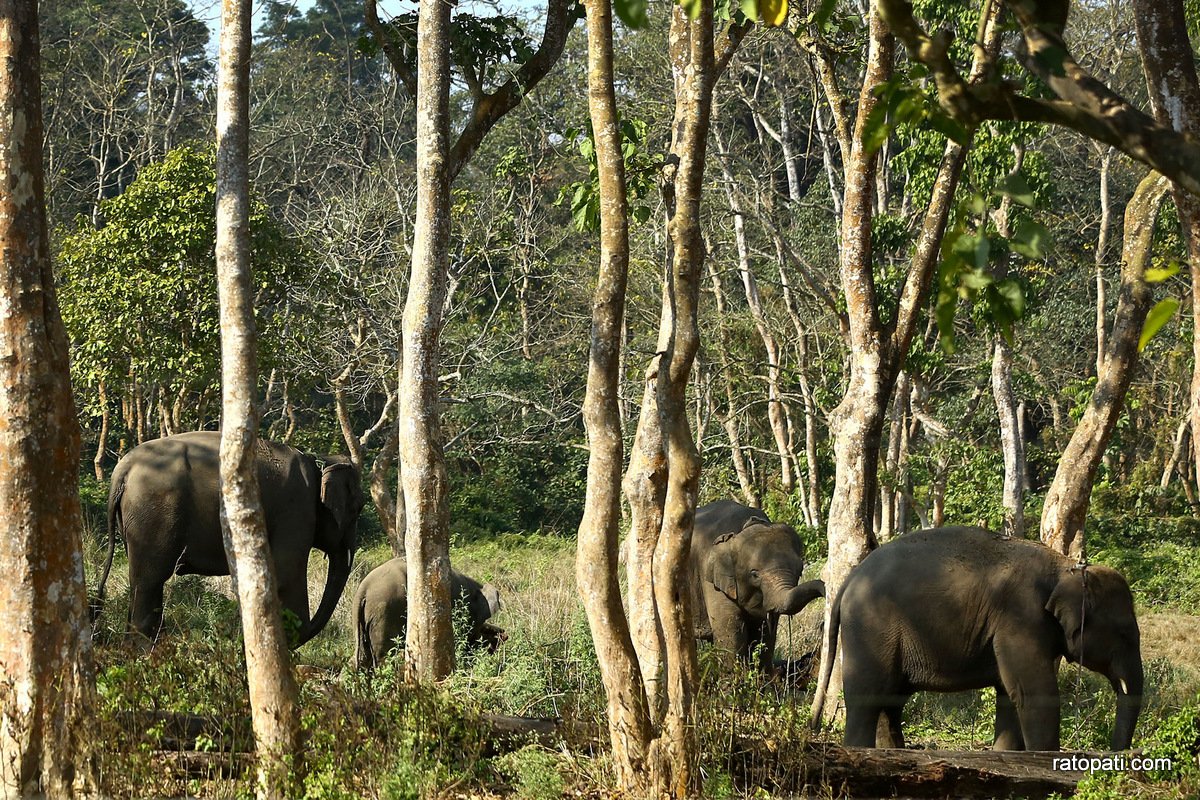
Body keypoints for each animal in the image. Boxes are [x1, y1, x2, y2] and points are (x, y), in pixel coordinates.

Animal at [97, 429, 364, 647]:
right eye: (358, 509)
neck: (319, 460)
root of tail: (122, 469)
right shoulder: (296, 509)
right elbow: (287, 573)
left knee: (139, 581)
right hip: (155, 513)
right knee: (150, 580)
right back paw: (146, 651)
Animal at [355, 556, 506, 671]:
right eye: (482, 628)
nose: (504, 634)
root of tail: (363, 588)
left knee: (363, 656)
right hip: (385, 612)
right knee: (385, 655)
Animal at [696, 503, 825, 671]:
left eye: (800, 569)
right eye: (754, 574)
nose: (826, 589)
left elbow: (765, 632)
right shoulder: (710, 578)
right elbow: (730, 631)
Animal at [816, 527, 1142, 753]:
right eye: (1125, 635)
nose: (1118, 754)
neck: (1066, 568)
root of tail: (847, 581)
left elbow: (1009, 693)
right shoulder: (1021, 618)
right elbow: (1034, 693)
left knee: (891, 699)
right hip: (870, 629)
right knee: (867, 697)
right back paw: (860, 750)